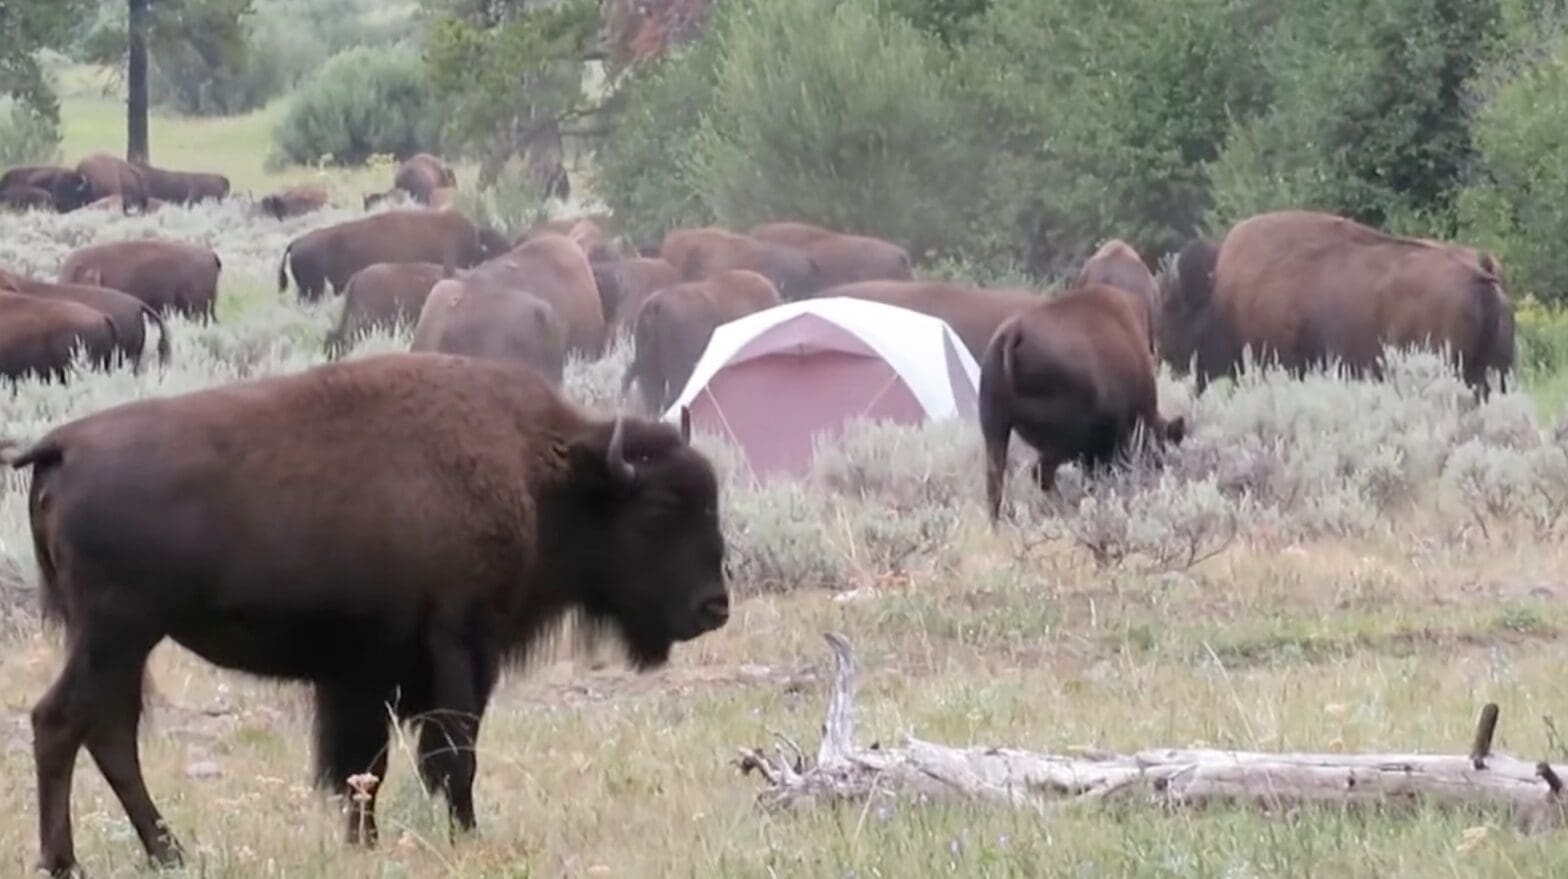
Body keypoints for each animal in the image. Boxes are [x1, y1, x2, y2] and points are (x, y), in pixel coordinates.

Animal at [4, 352, 729, 877]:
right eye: (661, 509)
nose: (713, 605)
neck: (539, 469)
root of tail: (64, 446)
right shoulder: (460, 646)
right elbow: (452, 752)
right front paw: (465, 836)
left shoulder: (362, 672)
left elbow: (363, 766)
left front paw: (366, 842)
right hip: (117, 632)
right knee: (62, 721)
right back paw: (69, 860)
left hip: (122, 641)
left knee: (107, 730)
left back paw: (167, 851)